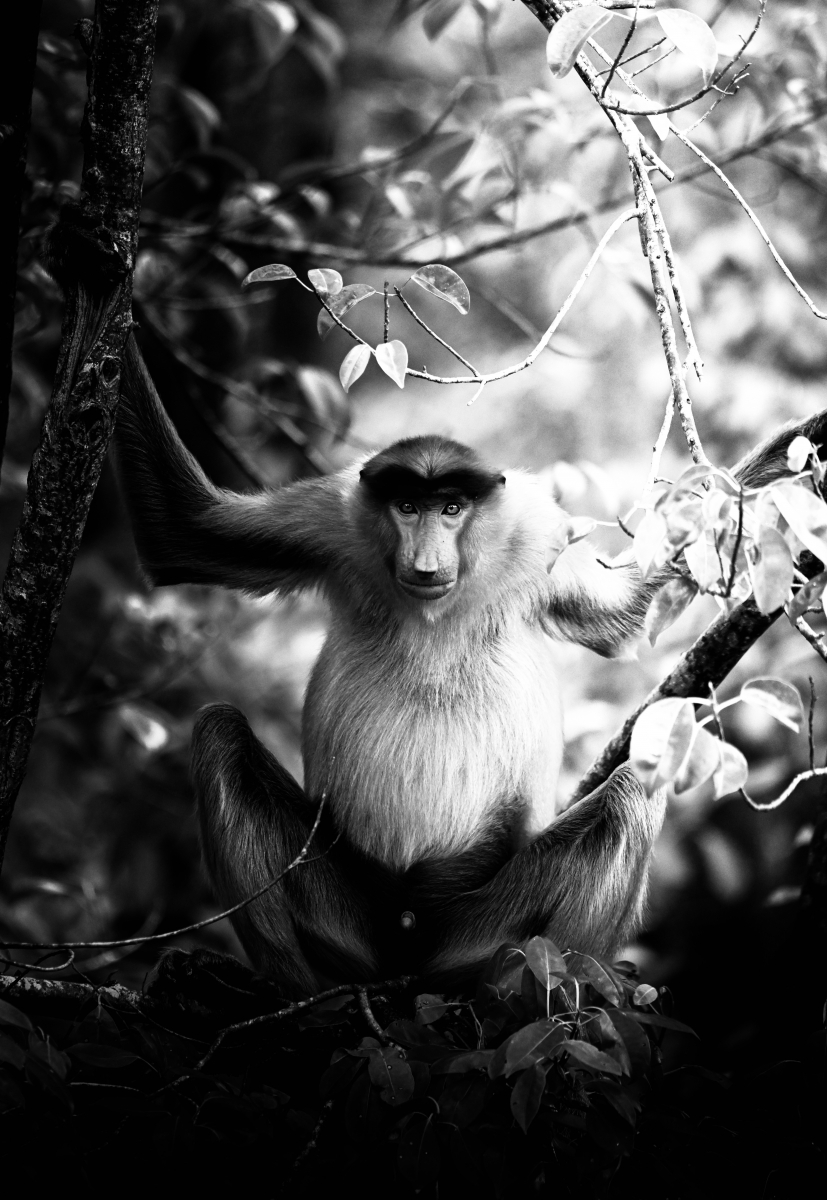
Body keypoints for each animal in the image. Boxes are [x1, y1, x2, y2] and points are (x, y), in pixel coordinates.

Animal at [114, 332, 813, 998]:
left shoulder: (537, 530)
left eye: (452, 508)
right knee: (220, 732)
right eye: (407, 507)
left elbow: (630, 610)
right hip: (345, 910)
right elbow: (187, 533)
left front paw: (809, 437)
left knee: (632, 786)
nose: (426, 561)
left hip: (481, 928)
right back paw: (288, 987)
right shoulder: (333, 515)